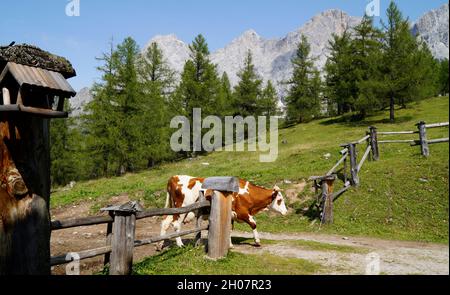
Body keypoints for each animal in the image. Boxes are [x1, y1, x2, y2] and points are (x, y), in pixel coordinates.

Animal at [156, 175, 286, 251]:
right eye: (280, 200)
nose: (286, 211)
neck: (247, 193)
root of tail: (174, 177)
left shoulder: (231, 215)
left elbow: (229, 229)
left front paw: (229, 245)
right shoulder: (242, 213)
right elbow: (253, 224)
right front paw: (257, 241)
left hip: (174, 209)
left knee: (165, 222)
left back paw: (160, 245)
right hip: (182, 208)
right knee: (176, 224)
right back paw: (180, 244)